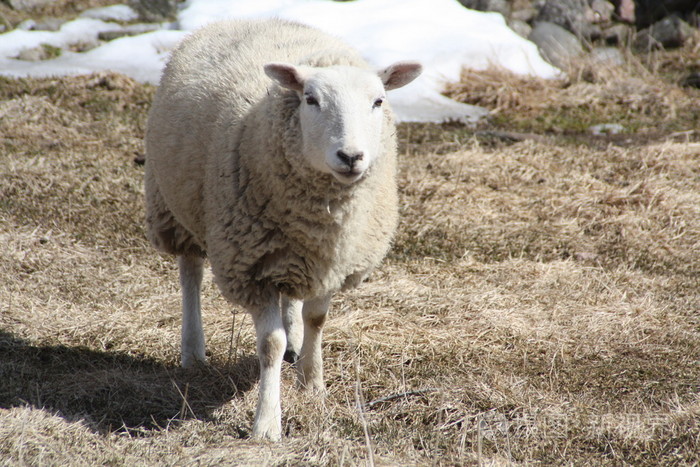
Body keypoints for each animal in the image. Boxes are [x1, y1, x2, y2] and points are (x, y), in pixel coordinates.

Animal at [144, 18, 421, 441]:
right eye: (310, 99)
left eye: (378, 101)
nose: (351, 156)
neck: (322, 216)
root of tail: (243, 20)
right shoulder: (251, 268)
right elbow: (269, 345)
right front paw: (266, 423)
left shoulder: (331, 262)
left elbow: (316, 320)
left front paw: (313, 383)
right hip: (174, 207)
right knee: (190, 273)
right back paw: (193, 351)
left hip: (286, 254)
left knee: (290, 295)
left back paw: (294, 341)